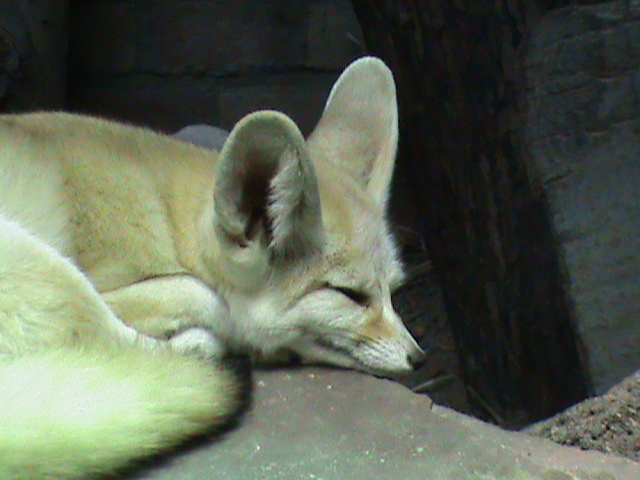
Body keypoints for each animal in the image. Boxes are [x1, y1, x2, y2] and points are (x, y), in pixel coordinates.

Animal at [0, 57, 425, 479]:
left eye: (393, 292)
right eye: (351, 295)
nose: (418, 359)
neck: (169, 222)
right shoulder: (116, 290)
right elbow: (207, 300)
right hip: (35, 257)